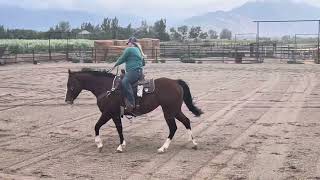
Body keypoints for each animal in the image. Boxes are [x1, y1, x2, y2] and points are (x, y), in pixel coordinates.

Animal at [65, 69, 202, 153]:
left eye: (70, 85)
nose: (67, 100)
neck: (108, 89)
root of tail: (175, 82)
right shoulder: (114, 115)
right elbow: (118, 129)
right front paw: (121, 145)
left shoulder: (108, 113)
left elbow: (97, 126)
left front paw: (101, 144)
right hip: (175, 110)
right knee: (186, 121)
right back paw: (194, 143)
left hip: (168, 111)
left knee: (173, 127)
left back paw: (163, 148)